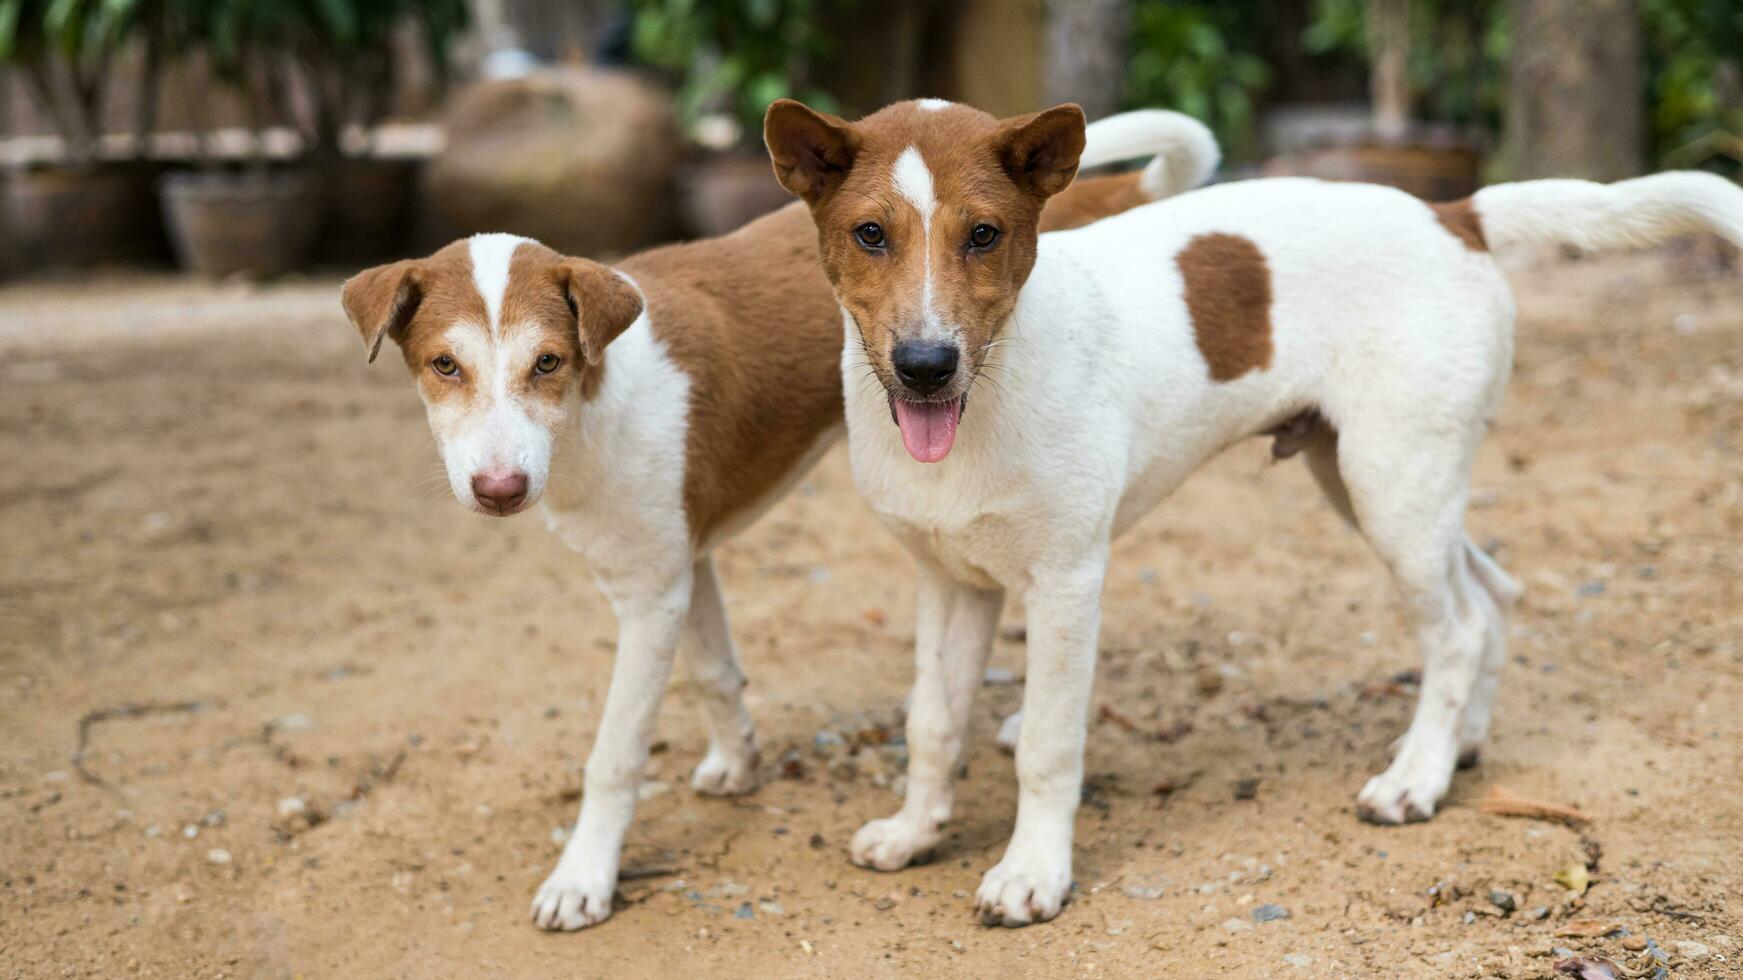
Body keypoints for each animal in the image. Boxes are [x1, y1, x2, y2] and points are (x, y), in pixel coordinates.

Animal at [336, 108, 1213, 927]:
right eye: (444, 367)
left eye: (546, 362)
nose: (499, 489)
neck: (599, 395)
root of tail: (1114, 191)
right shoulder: (681, 562)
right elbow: (715, 671)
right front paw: (737, 760)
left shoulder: (646, 597)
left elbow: (614, 755)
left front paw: (582, 877)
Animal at [773, 97, 1743, 920]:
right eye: (869, 234)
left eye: (984, 235)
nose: (924, 366)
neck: (988, 390)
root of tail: (1452, 213)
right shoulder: (951, 581)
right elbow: (931, 723)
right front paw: (914, 832)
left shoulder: (1067, 583)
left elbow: (1048, 745)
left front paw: (1032, 874)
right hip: (1375, 479)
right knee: (1491, 593)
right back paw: (1458, 747)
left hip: (1389, 483)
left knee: (1459, 629)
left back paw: (1414, 780)